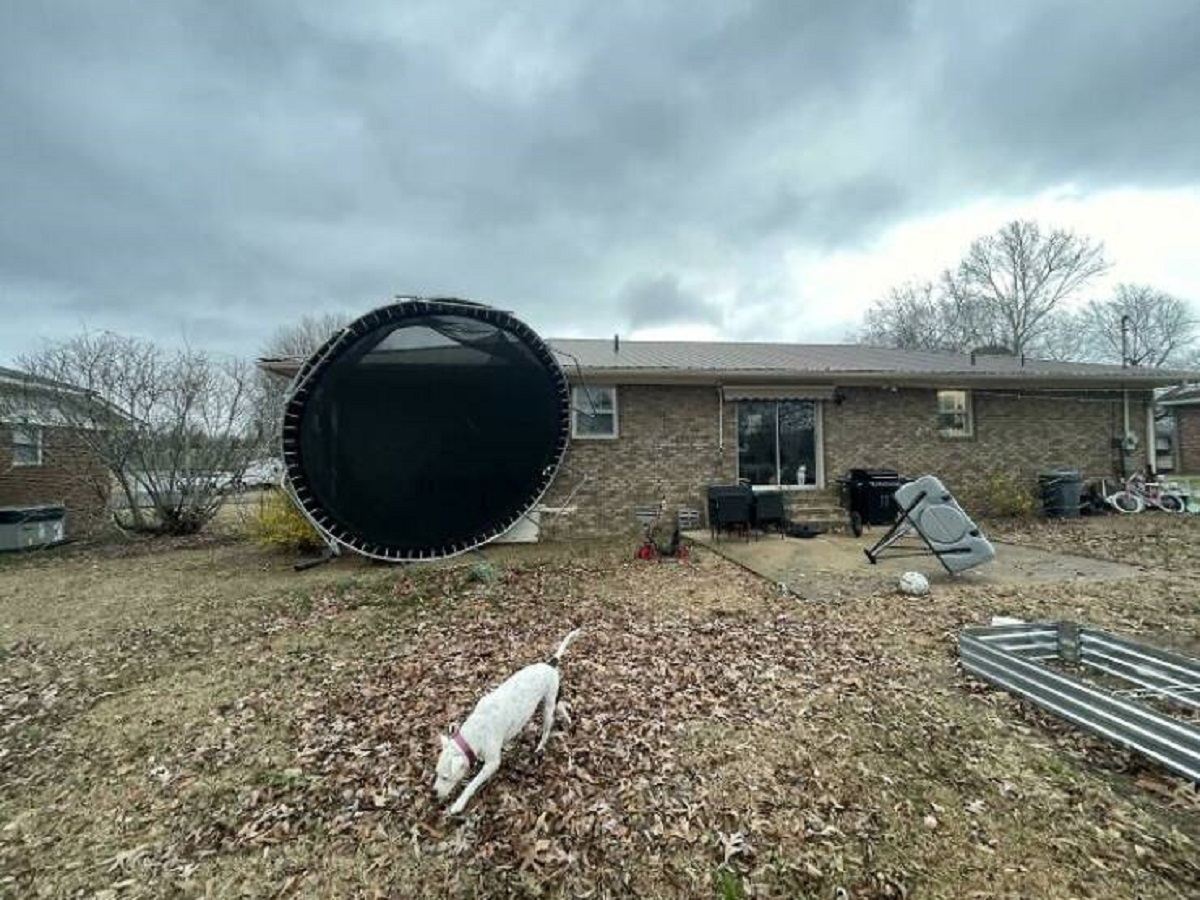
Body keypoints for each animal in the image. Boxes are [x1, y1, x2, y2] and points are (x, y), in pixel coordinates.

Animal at [434, 628, 583, 816]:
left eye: (445, 777)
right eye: (436, 773)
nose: (434, 793)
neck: (475, 731)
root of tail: (550, 664)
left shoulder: (493, 763)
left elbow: (472, 784)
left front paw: (459, 803)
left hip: (547, 708)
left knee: (547, 729)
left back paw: (540, 747)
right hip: (550, 699)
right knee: (561, 704)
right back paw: (568, 718)